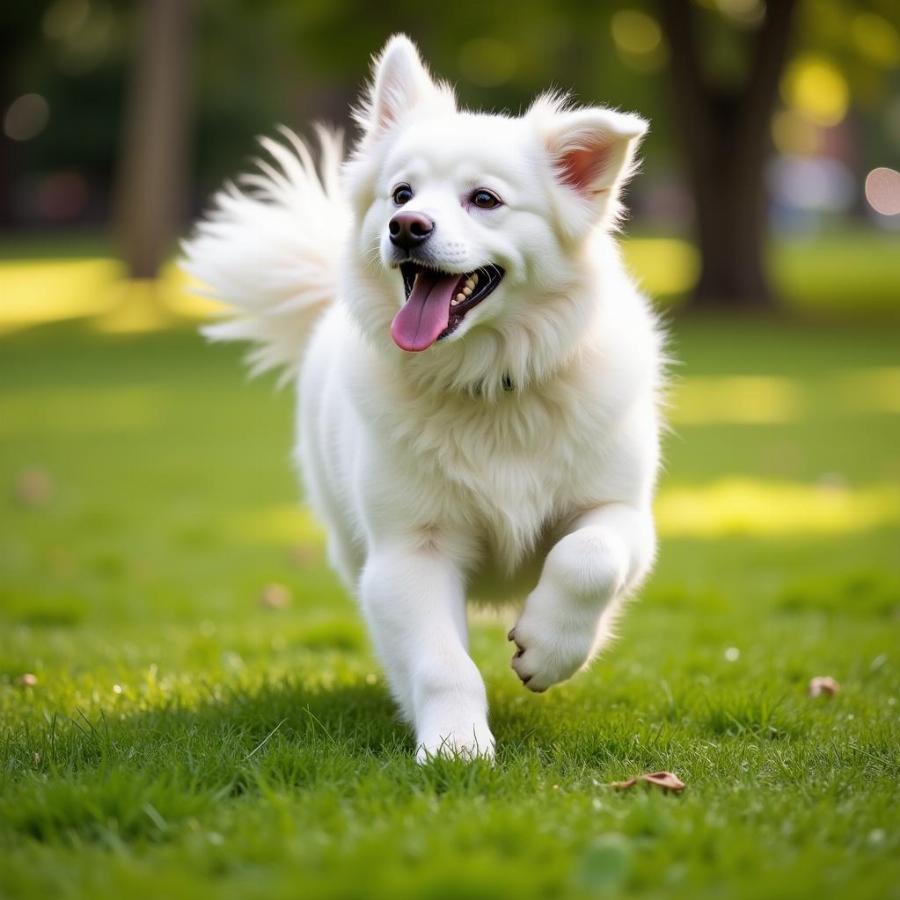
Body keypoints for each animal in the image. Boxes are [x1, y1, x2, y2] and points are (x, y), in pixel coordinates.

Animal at [185, 35, 660, 764]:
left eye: (484, 199)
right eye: (400, 192)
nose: (406, 226)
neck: (489, 385)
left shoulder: (621, 512)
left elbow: (588, 560)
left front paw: (546, 651)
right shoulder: (409, 551)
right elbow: (441, 664)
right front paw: (456, 747)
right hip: (357, 552)